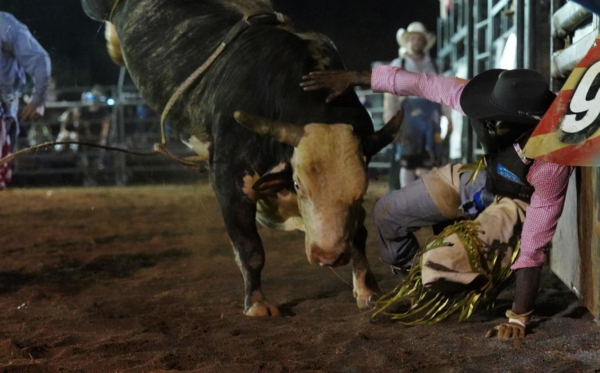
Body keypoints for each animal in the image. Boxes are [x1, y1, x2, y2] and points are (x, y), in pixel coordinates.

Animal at [79, 0, 398, 316]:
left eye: (361, 193)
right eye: (298, 185)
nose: (329, 256)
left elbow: (359, 235)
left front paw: (367, 290)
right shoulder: (229, 179)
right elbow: (250, 248)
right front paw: (257, 303)